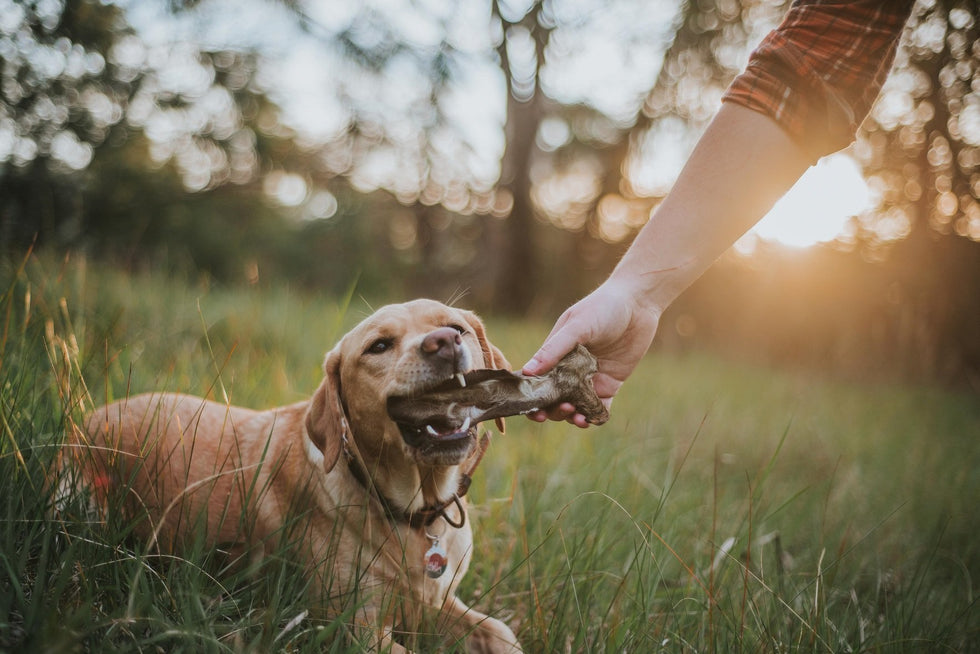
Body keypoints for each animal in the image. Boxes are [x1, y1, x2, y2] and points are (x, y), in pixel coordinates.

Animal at [65, 300, 524, 652]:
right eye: (379, 346)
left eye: (456, 327)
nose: (444, 342)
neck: (411, 509)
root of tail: (89, 415)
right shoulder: (353, 626)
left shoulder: (436, 603)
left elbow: (501, 632)